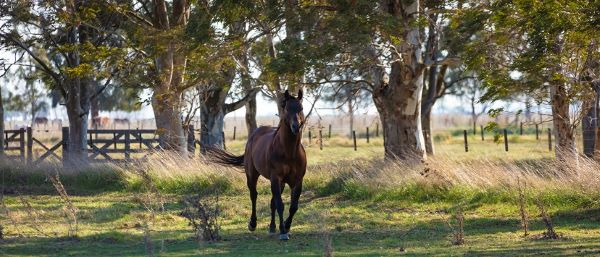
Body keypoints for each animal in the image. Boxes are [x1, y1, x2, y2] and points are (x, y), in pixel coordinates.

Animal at [210, 89, 304, 239]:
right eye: (287, 109)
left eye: (301, 108)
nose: (296, 126)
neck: (290, 153)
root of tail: (255, 134)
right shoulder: (275, 178)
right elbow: (280, 204)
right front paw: (283, 232)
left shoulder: (297, 181)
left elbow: (293, 206)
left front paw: (286, 226)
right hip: (252, 175)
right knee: (254, 195)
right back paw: (253, 224)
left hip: (281, 182)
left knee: (272, 202)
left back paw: (272, 227)